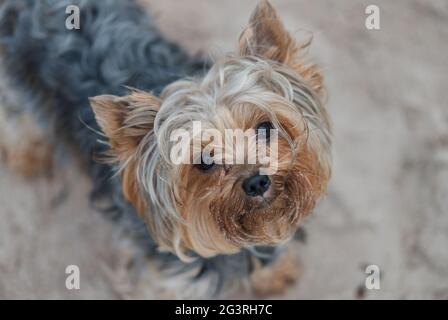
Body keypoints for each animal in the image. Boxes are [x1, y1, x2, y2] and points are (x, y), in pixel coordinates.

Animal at [0, 0, 328, 298]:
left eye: (265, 127)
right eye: (205, 160)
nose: (257, 181)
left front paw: (274, 274)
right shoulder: (167, 282)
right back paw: (28, 155)